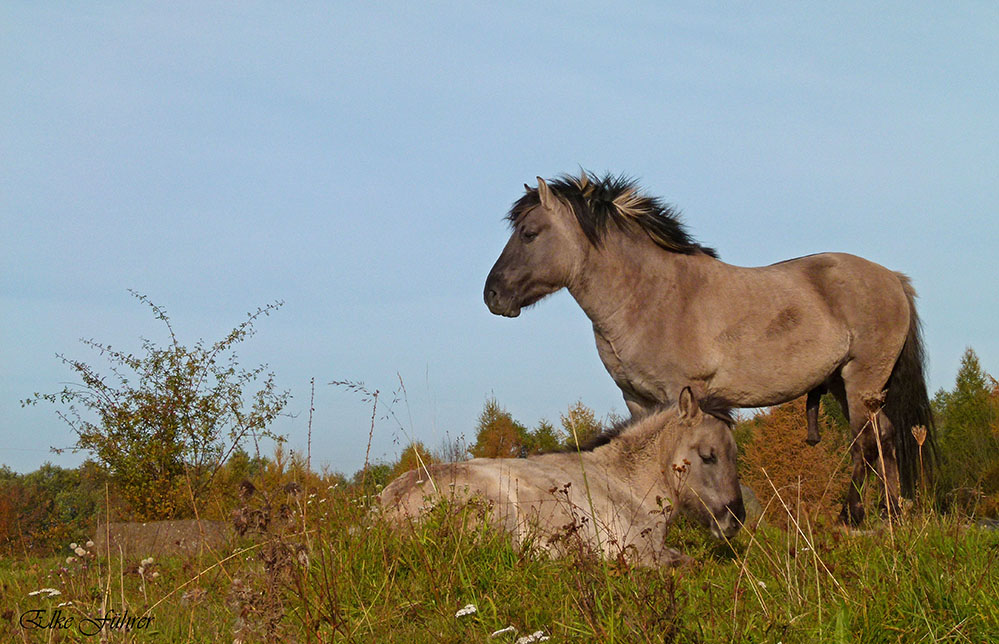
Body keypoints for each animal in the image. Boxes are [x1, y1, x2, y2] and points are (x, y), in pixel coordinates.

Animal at [484, 174, 936, 524]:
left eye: (529, 234)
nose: (493, 295)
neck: (651, 295)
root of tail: (893, 279)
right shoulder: (637, 399)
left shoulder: (682, 392)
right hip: (847, 385)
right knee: (885, 437)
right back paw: (892, 513)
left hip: (861, 379)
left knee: (865, 442)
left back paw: (852, 515)